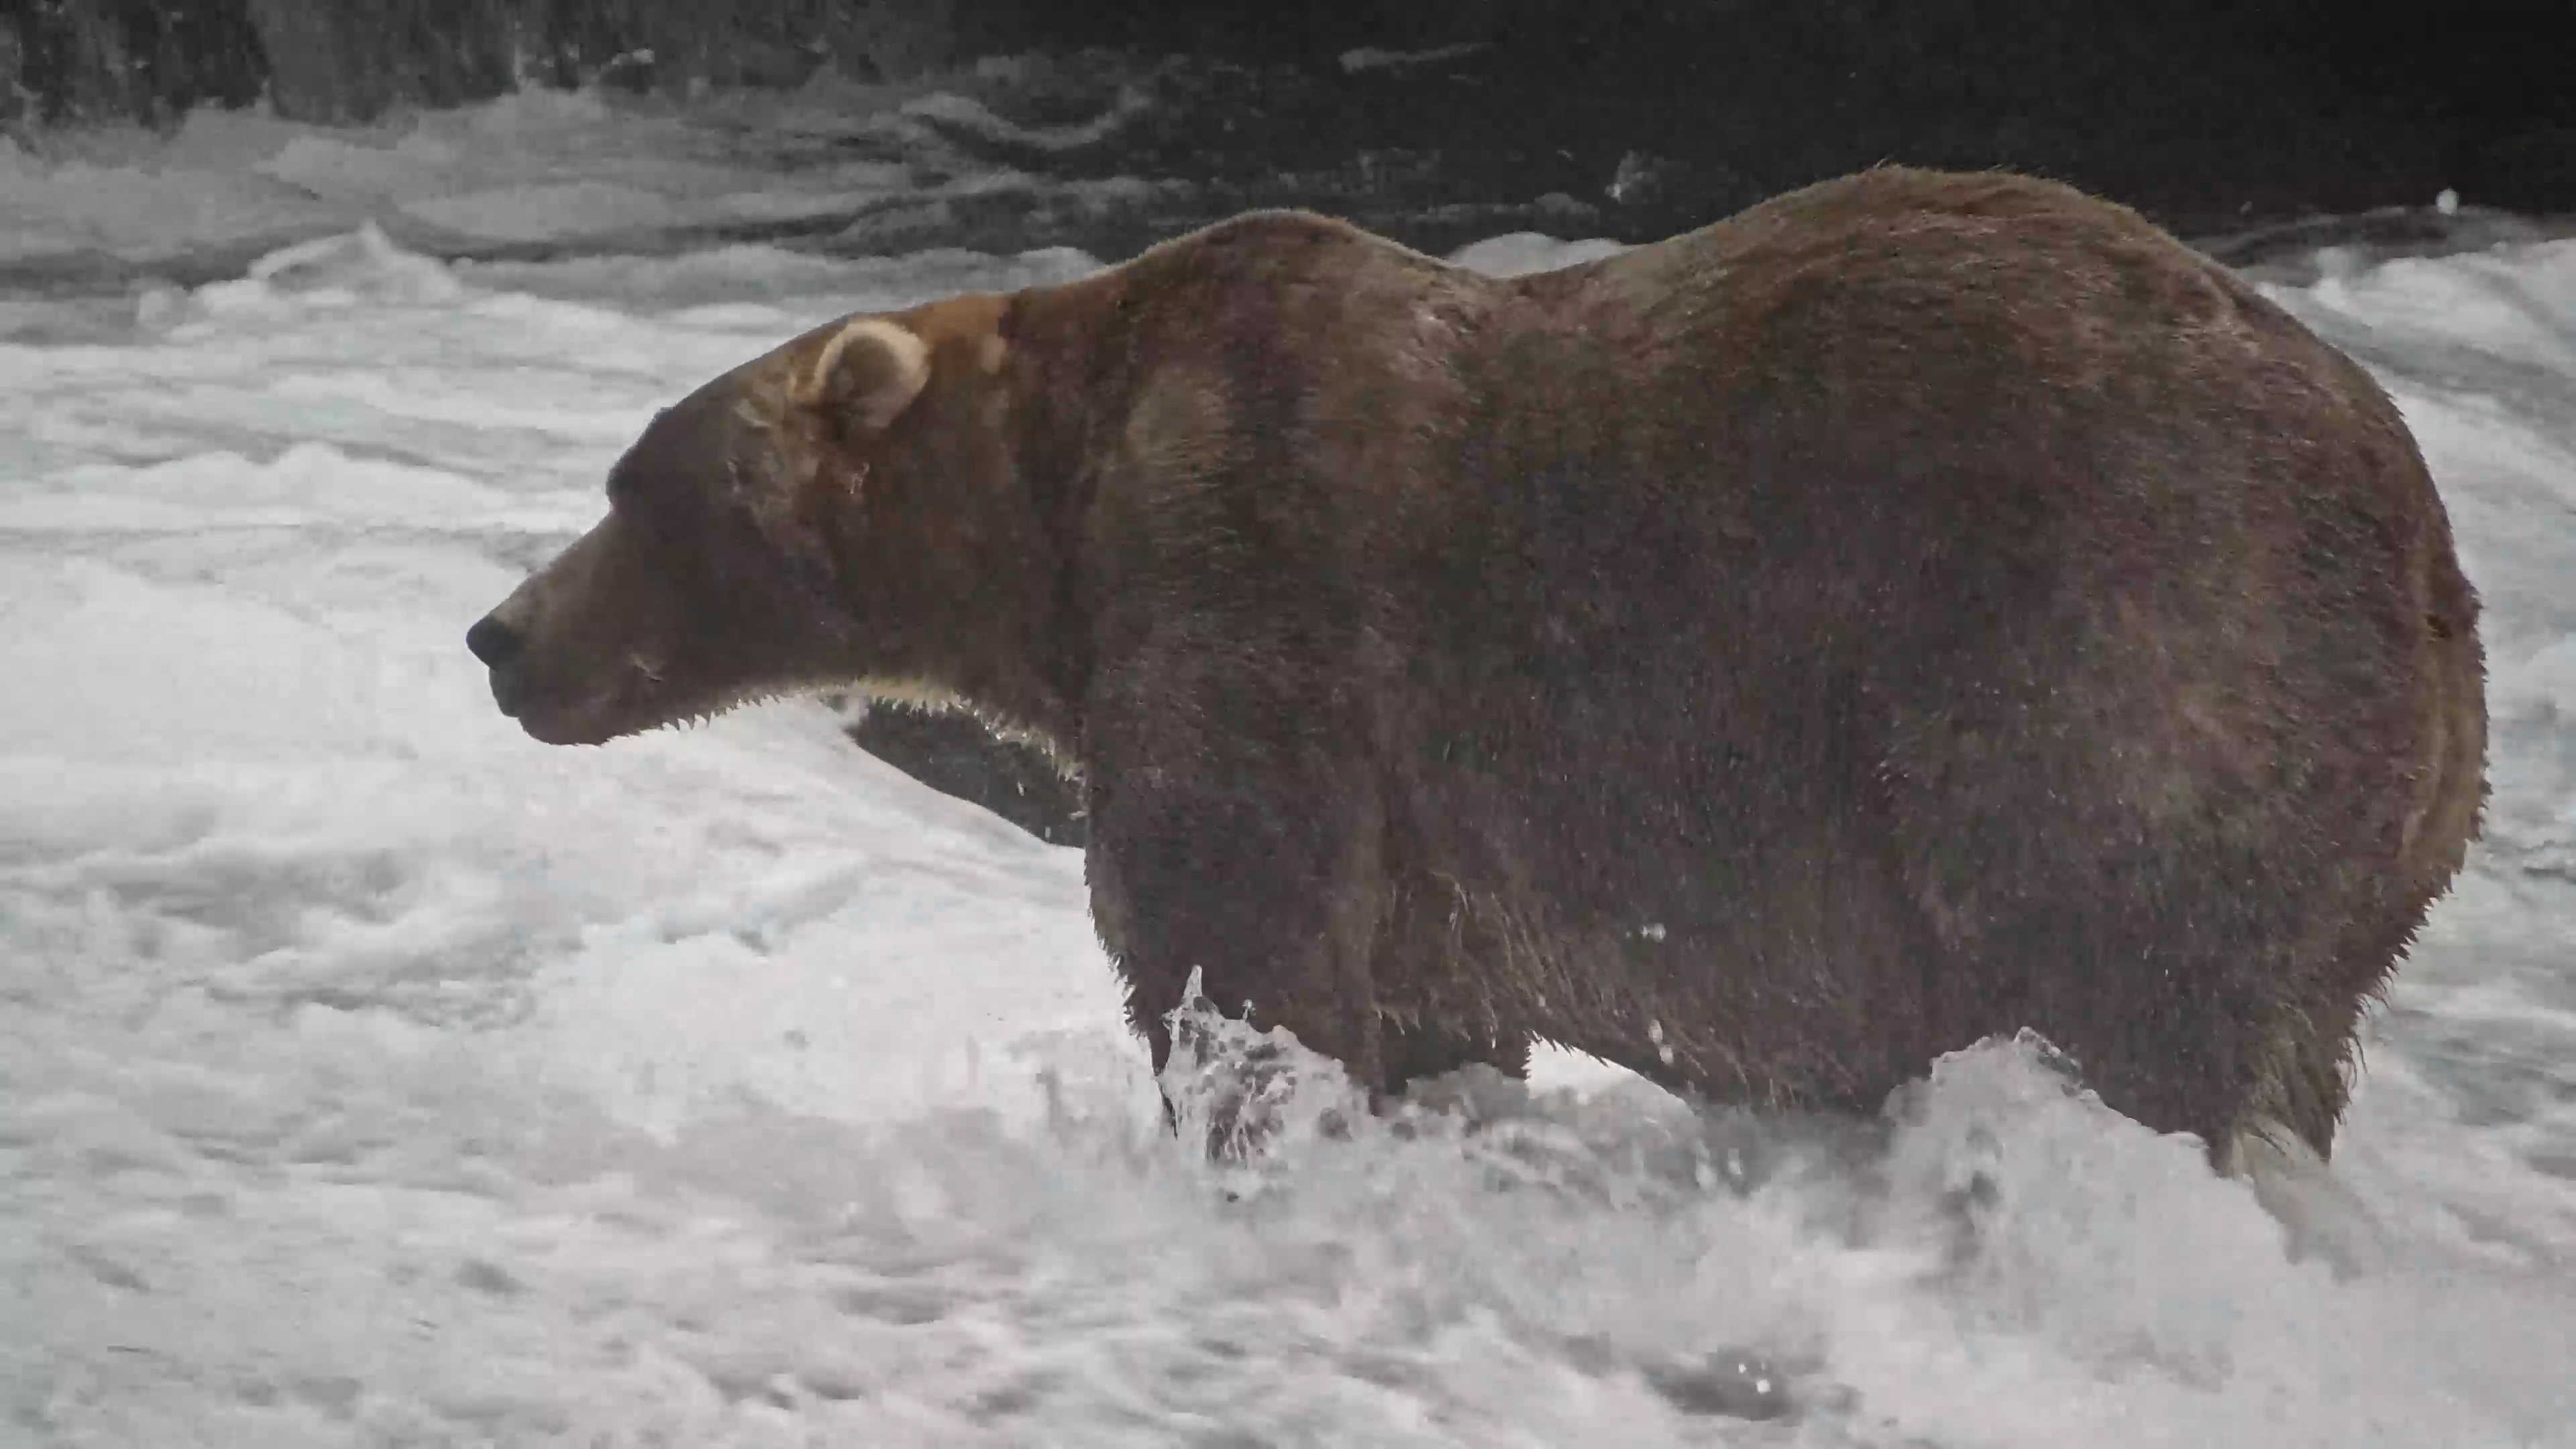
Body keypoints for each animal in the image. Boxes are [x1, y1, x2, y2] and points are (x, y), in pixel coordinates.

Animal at [465, 165, 2487, 1169]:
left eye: (635, 486)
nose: (499, 637)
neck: (1055, 519)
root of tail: (2430, 553)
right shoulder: (1429, 825)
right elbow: (1424, 1000)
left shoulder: (1253, 590)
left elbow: (1234, 942)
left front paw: (1243, 1128)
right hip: (2367, 839)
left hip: (2116, 654)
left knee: (2114, 973)